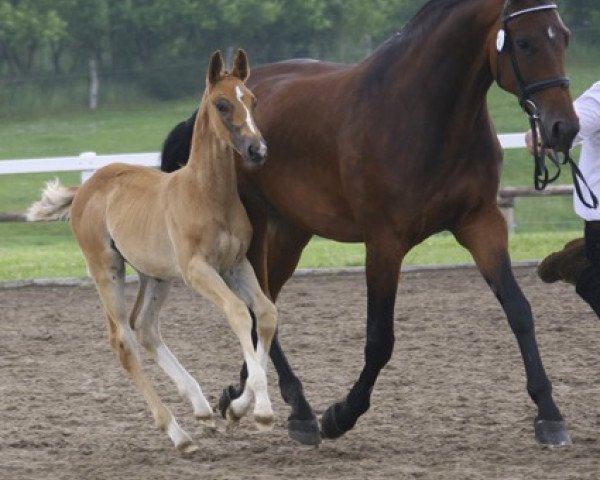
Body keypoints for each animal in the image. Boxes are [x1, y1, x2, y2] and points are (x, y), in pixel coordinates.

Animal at [25, 50, 274, 456]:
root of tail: (84, 188)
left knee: (144, 326)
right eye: (222, 104)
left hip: (155, 274)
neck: (207, 194)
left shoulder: (236, 265)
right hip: (107, 268)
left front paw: (241, 408)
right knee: (123, 340)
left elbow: (266, 314)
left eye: (251, 100)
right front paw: (262, 411)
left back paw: (201, 408)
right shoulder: (198, 270)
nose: (258, 150)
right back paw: (178, 434)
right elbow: (239, 312)